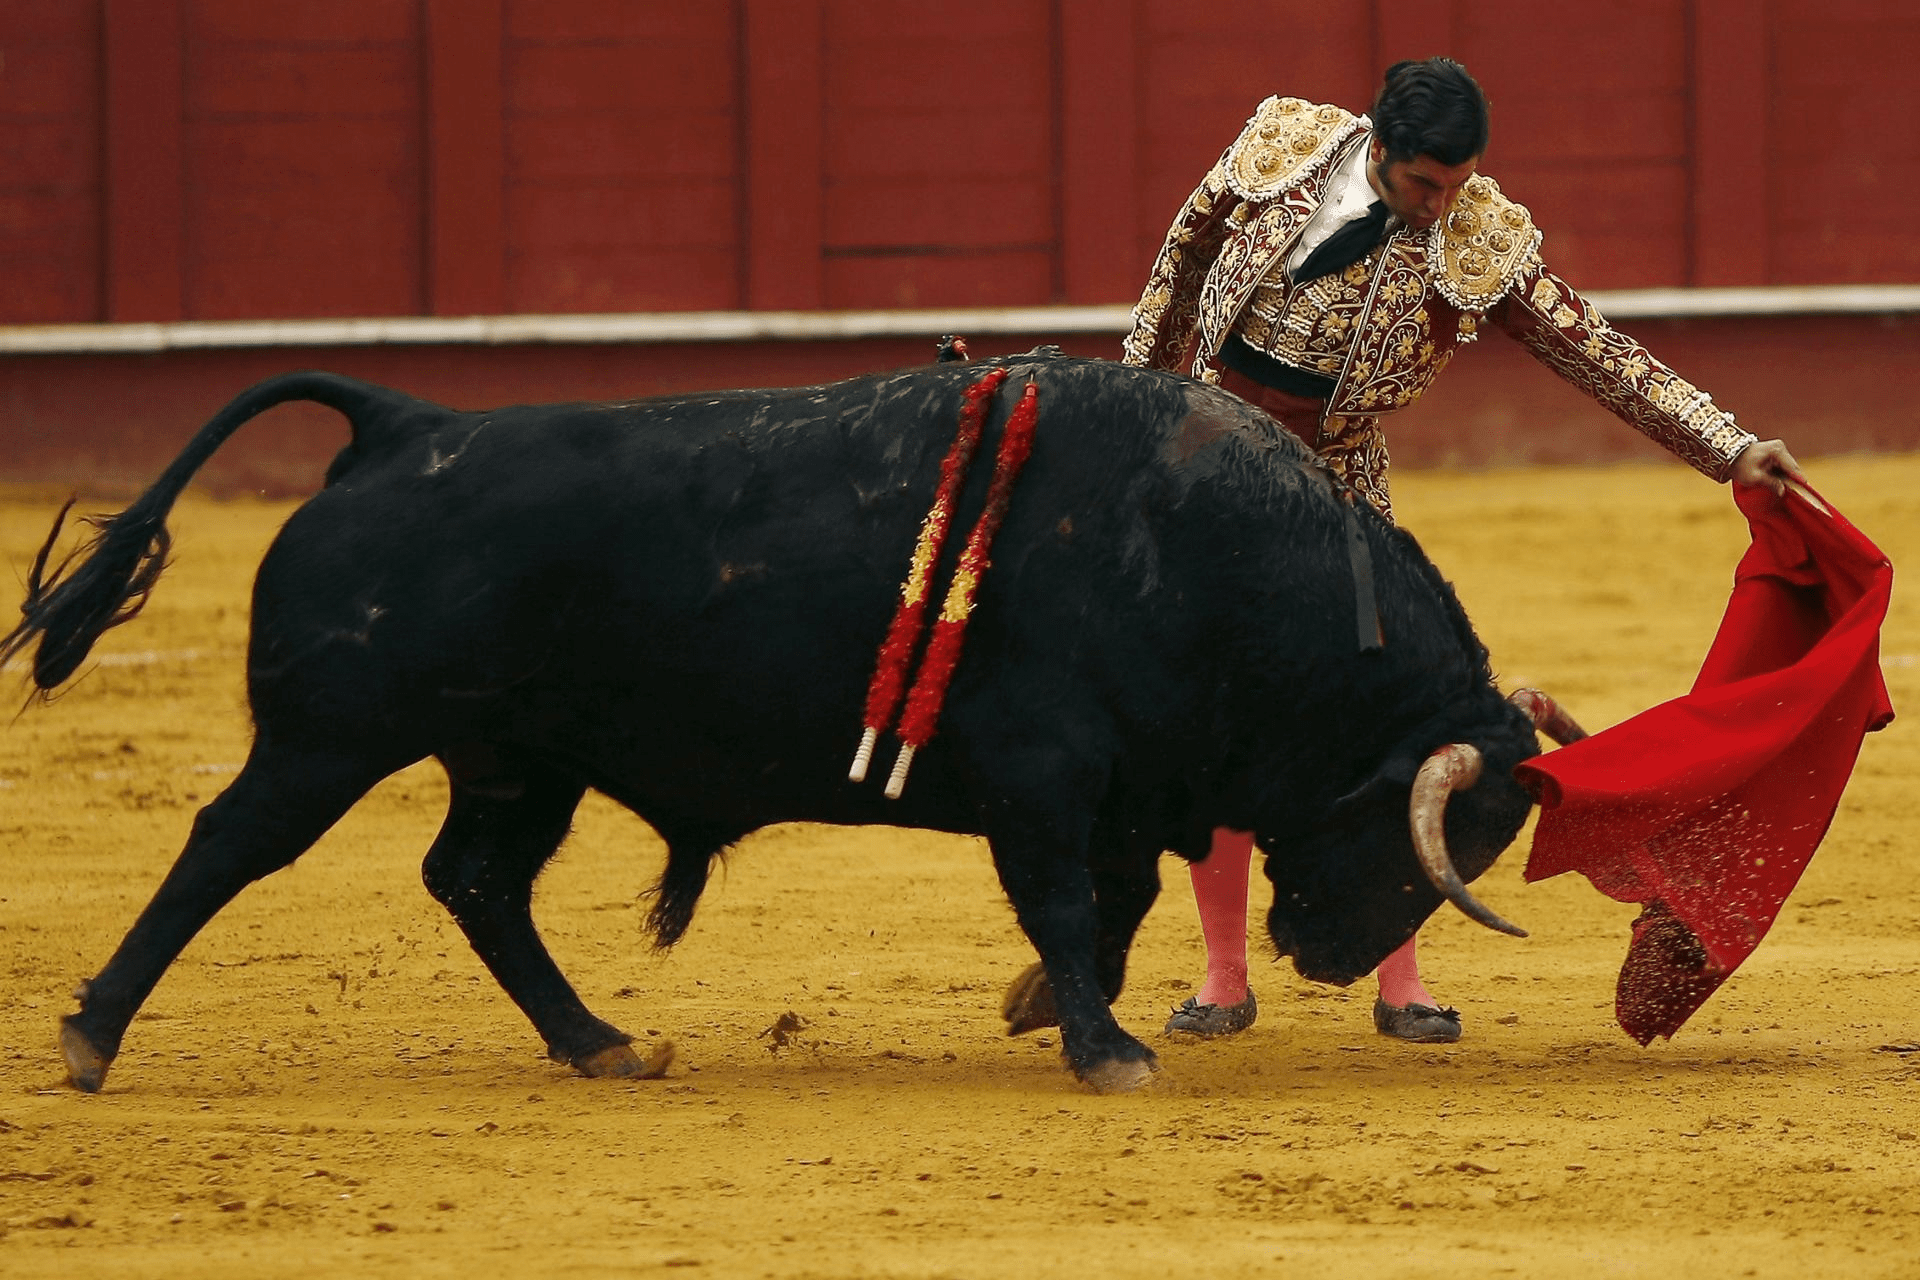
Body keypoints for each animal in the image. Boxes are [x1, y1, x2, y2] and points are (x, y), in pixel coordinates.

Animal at [3, 355, 1574, 1097]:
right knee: (226, 847)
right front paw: (1103, 1047)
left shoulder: (1113, 787)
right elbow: (1072, 904)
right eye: (1424, 833)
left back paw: (602, 1043)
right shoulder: (1044, 773)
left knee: (478, 882)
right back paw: (89, 1035)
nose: (1333, 959)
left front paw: (1055, 1012)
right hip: (330, 740)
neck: (1209, 553)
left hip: (520, 764)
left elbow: (1112, 904)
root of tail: (403, 422)